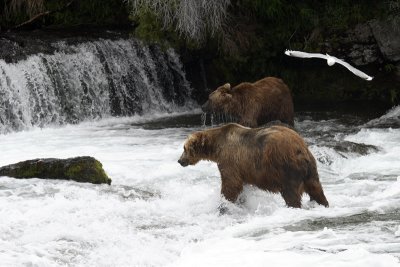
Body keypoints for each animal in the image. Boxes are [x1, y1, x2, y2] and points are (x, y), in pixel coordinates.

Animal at [178, 123, 328, 209]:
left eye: (184, 148)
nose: (180, 161)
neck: (217, 147)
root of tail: (301, 148)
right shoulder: (244, 169)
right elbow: (241, 185)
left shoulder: (230, 160)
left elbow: (230, 184)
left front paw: (224, 204)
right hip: (311, 169)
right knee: (316, 189)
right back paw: (323, 204)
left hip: (286, 167)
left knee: (291, 193)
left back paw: (294, 206)